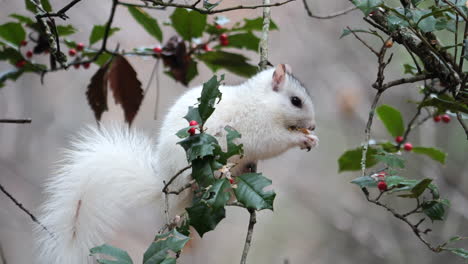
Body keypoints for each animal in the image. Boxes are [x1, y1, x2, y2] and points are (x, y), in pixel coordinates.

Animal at [33, 64, 318, 264]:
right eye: (296, 101)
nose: (313, 126)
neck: (263, 103)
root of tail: (167, 185)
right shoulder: (257, 128)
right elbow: (273, 142)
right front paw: (302, 139)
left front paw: (310, 138)